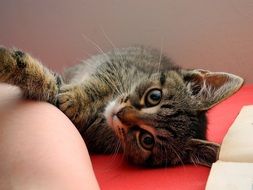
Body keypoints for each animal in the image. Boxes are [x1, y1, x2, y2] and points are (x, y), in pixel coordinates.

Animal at [0, 46, 243, 167]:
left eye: (147, 140)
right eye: (154, 96)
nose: (120, 113)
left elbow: (47, 83)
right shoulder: (115, 65)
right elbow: (99, 80)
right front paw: (76, 98)